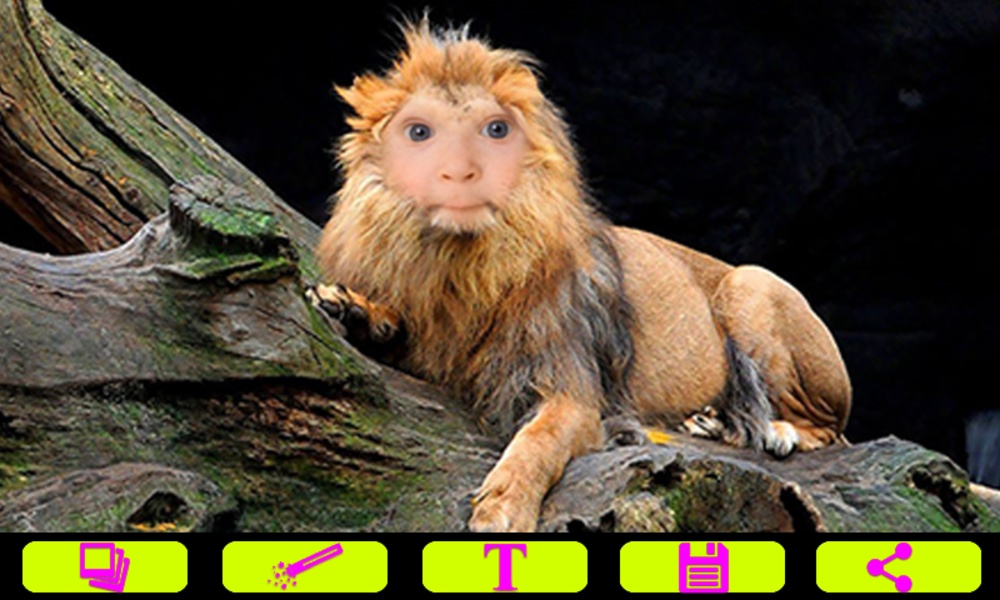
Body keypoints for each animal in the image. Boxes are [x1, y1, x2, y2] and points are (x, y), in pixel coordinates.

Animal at [309, 19, 851, 532]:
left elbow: (537, 441)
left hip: (750, 284)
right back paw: (712, 423)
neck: (461, 267)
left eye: (495, 130)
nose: (460, 172)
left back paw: (774, 430)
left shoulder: (570, 385)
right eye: (419, 132)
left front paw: (502, 509)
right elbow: (396, 325)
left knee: (827, 429)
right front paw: (349, 307)